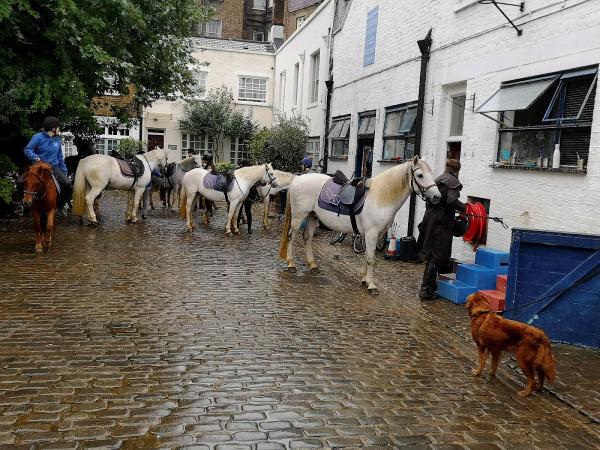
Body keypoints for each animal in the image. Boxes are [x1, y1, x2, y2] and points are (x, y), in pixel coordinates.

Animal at [280, 156, 440, 296]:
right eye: (420, 175)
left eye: (431, 173)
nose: (437, 197)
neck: (380, 197)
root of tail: (297, 179)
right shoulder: (371, 234)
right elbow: (371, 258)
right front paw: (372, 285)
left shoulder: (375, 235)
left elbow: (366, 256)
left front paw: (364, 280)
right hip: (299, 217)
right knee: (291, 237)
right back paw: (291, 264)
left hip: (313, 217)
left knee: (307, 238)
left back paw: (312, 265)